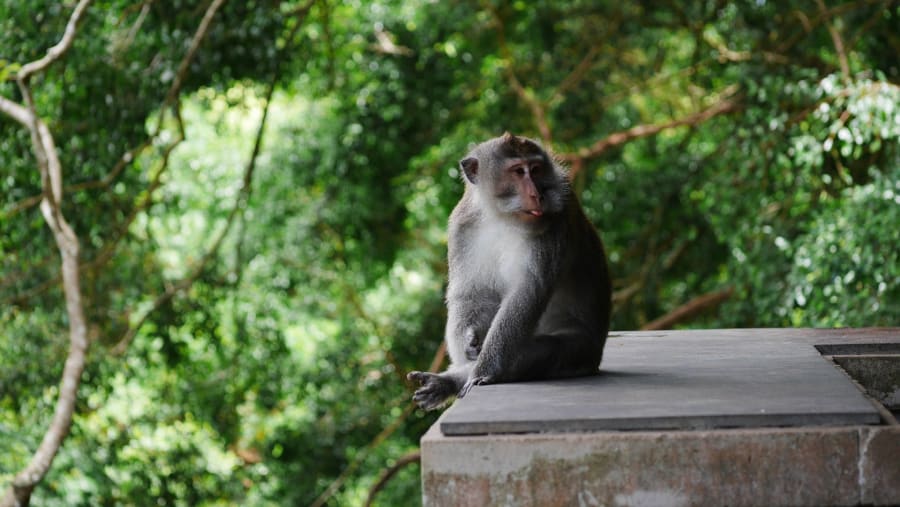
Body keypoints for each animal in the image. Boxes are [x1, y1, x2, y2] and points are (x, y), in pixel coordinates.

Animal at [407, 132, 612, 410]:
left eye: (535, 170)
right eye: (517, 171)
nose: (537, 194)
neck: (502, 217)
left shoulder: (555, 221)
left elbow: (527, 294)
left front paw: (482, 371)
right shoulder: (462, 223)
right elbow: (471, 292)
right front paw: (470, 340)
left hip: (582, 351)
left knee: (540, 352)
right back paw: (446, 382)